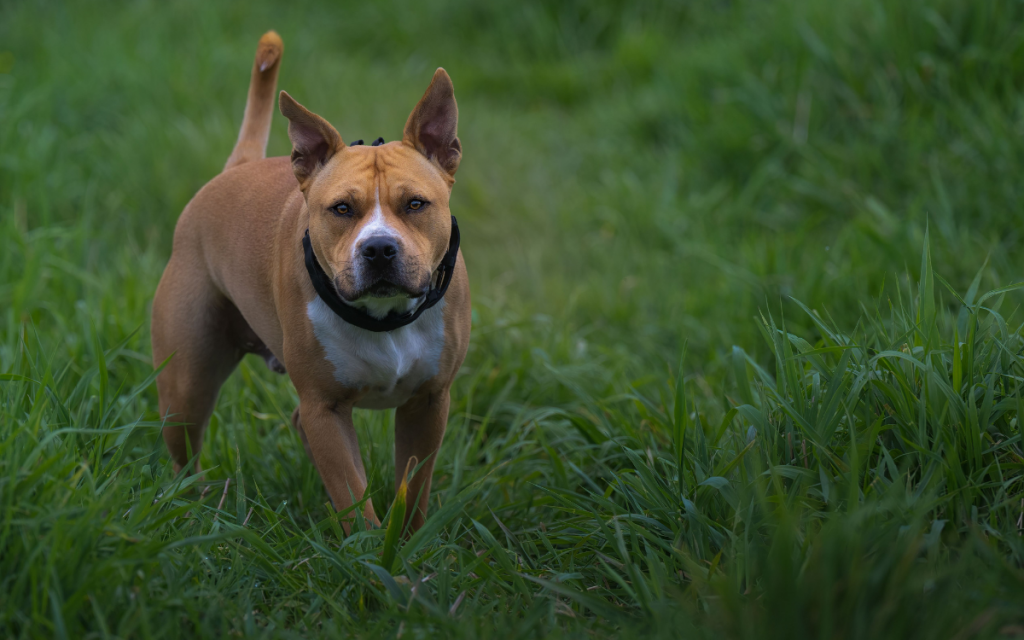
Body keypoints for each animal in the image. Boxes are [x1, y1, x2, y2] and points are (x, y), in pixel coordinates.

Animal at [149, 29, 468, 532]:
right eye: (341, 208)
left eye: (416, 204)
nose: (379, 248)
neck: (384, 317)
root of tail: (235, 168)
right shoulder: (326, 409)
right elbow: (354, 498)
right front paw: (371, 552)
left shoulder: (429, 404)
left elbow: (412, 490)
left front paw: (408, 545)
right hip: (186, 387)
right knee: (186, 450)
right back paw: (197, 511)